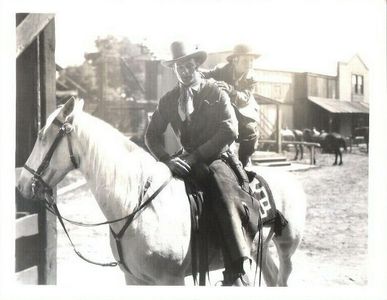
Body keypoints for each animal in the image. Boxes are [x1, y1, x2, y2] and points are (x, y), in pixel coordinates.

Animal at [16, 98, 308, 286]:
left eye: (42, 136)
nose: (21, 185)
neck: (139, 206)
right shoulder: (133, 279)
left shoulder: (171, 280)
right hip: (263, 247)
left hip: (287, 248)